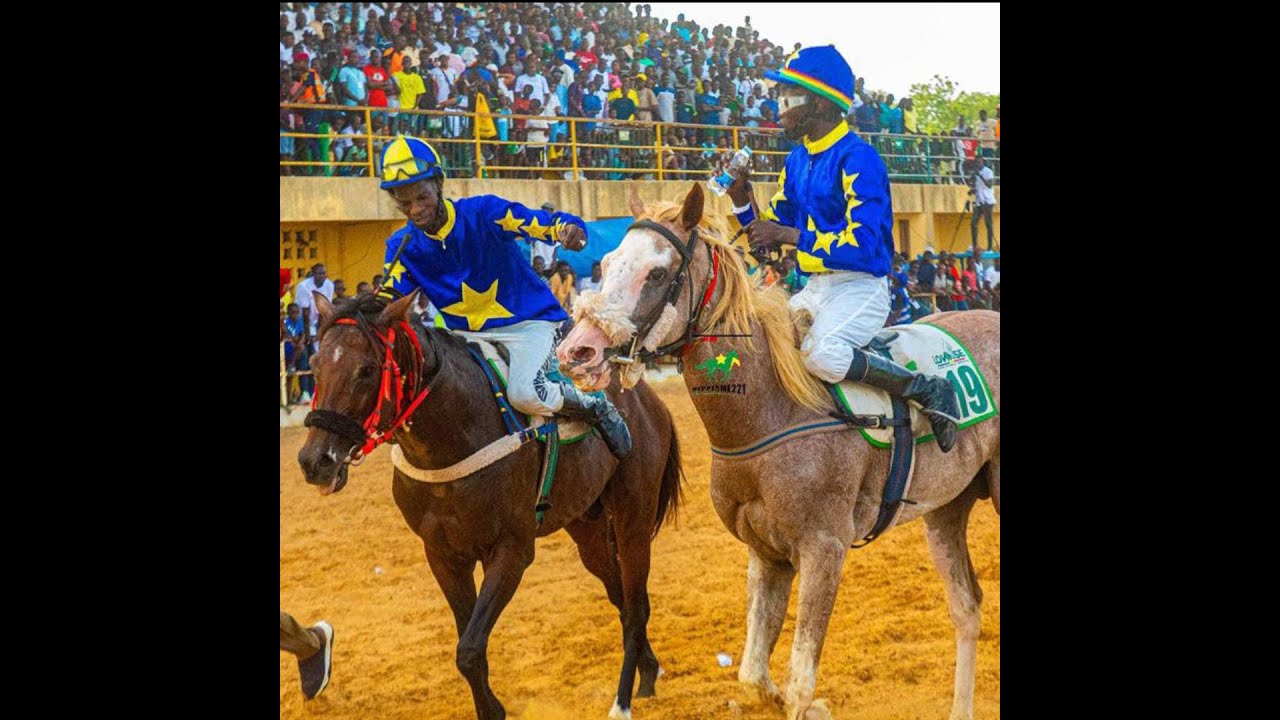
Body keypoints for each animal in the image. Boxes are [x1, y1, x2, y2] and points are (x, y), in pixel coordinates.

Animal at [297, 291, 684, 720]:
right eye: (316, 363)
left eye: (366, 370)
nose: (316, 461)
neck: (455, 435)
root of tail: (644, 397)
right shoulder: (444, 555)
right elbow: (469, 646)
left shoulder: (512, 551)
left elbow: (468, 649)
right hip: (588, 528)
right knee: (621, 596)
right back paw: (648, 671)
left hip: (634, 517)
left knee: (635, 607)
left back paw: (624, 698)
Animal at [557, 184, 1000, 720]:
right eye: (605, 263)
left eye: (658, 272)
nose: (577, 351)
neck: (772, 412)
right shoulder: (766, 552)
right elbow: (753, 675)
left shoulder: (824, 548)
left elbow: (800, 682)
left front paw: (810, 703)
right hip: (947, 508)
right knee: (967, 609)